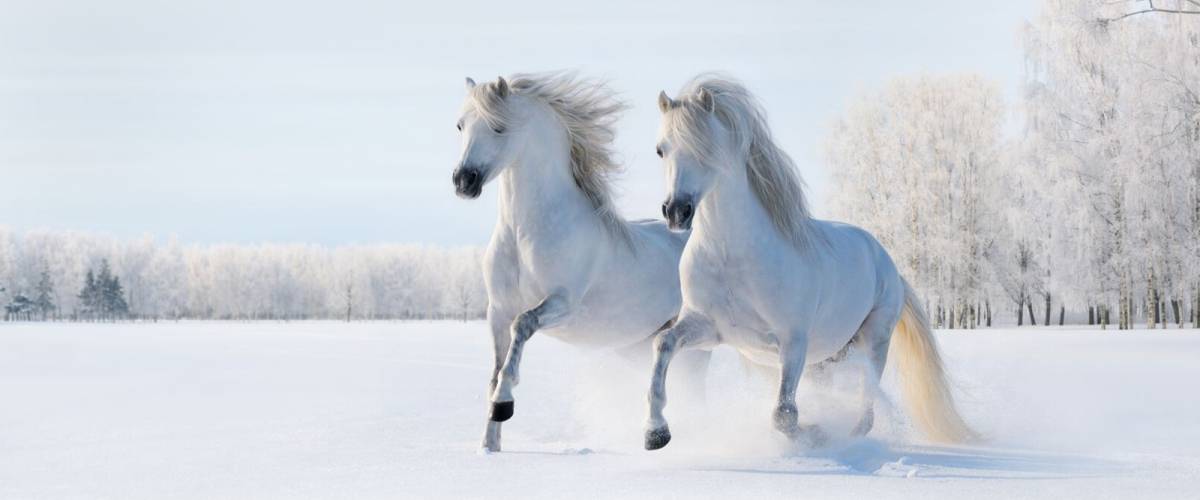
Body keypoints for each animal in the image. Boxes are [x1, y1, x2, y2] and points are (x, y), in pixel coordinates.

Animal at [643, 74, 969, 450]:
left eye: (706, 147)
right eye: (660, 149)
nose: (676, 211)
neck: (732, 257)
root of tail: (888, 263)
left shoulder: (793, 342)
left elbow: (784, 414)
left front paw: (816, 434)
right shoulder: (709, 329)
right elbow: (663, 343)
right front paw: (655, 432)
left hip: (874, 340)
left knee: (867, 406)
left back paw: (849, 439)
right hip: (826, 359)